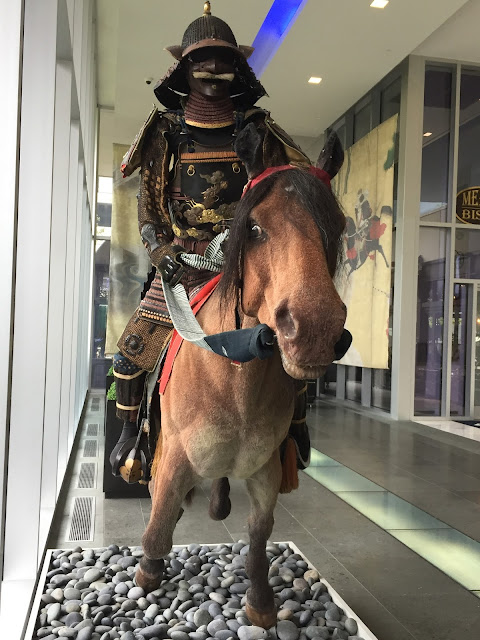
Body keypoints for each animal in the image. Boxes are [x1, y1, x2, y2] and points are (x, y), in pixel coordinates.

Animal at [135, 125, 350, 629]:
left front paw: (261, 602)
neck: (235, 381)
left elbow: (258, 536)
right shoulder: (173, 456)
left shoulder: (266, 468)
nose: (315, 330)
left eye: (338, 227)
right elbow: (158, 524)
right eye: (253, 228)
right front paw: (148, 572)